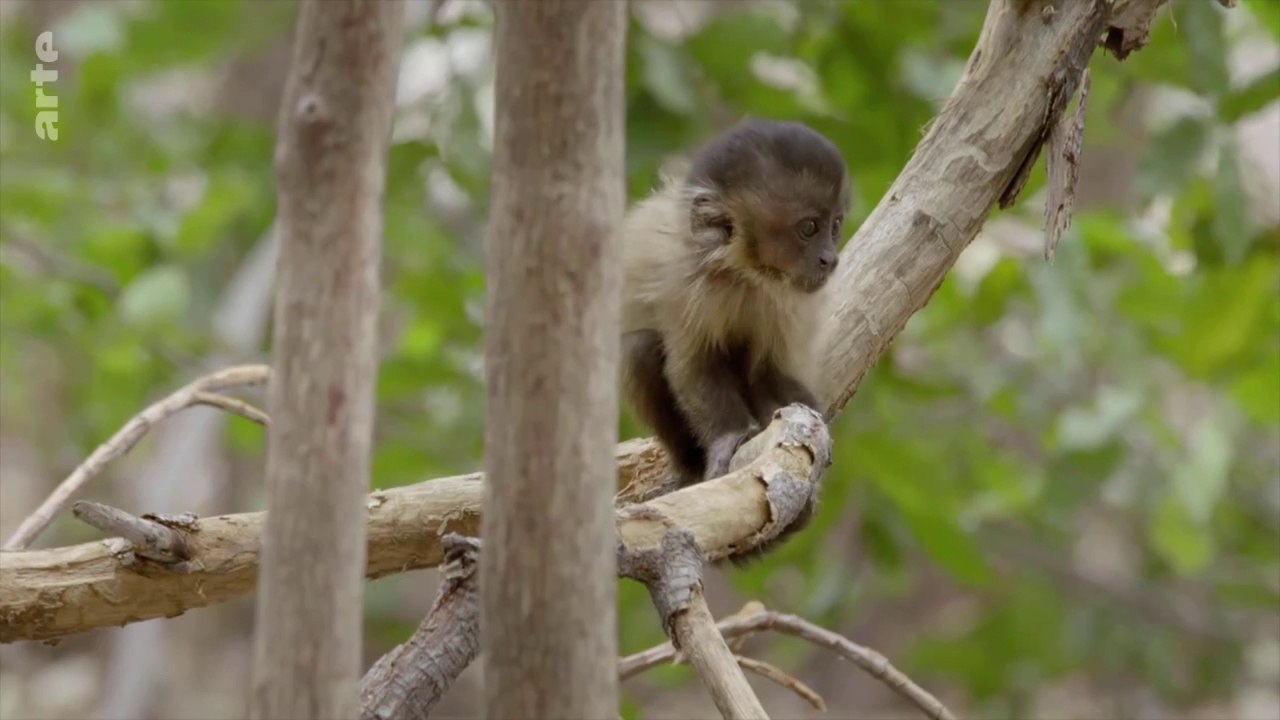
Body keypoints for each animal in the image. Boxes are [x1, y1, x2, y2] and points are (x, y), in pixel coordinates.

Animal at [618, 119, 849, 559]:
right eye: (808, 228)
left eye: (835, 227)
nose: (830, 259)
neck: (743, 275)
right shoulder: (685, 283)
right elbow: (693, 367)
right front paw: (728, 437)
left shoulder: (785, 300)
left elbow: (770, 372)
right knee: (639, 349)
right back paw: (690, 467)